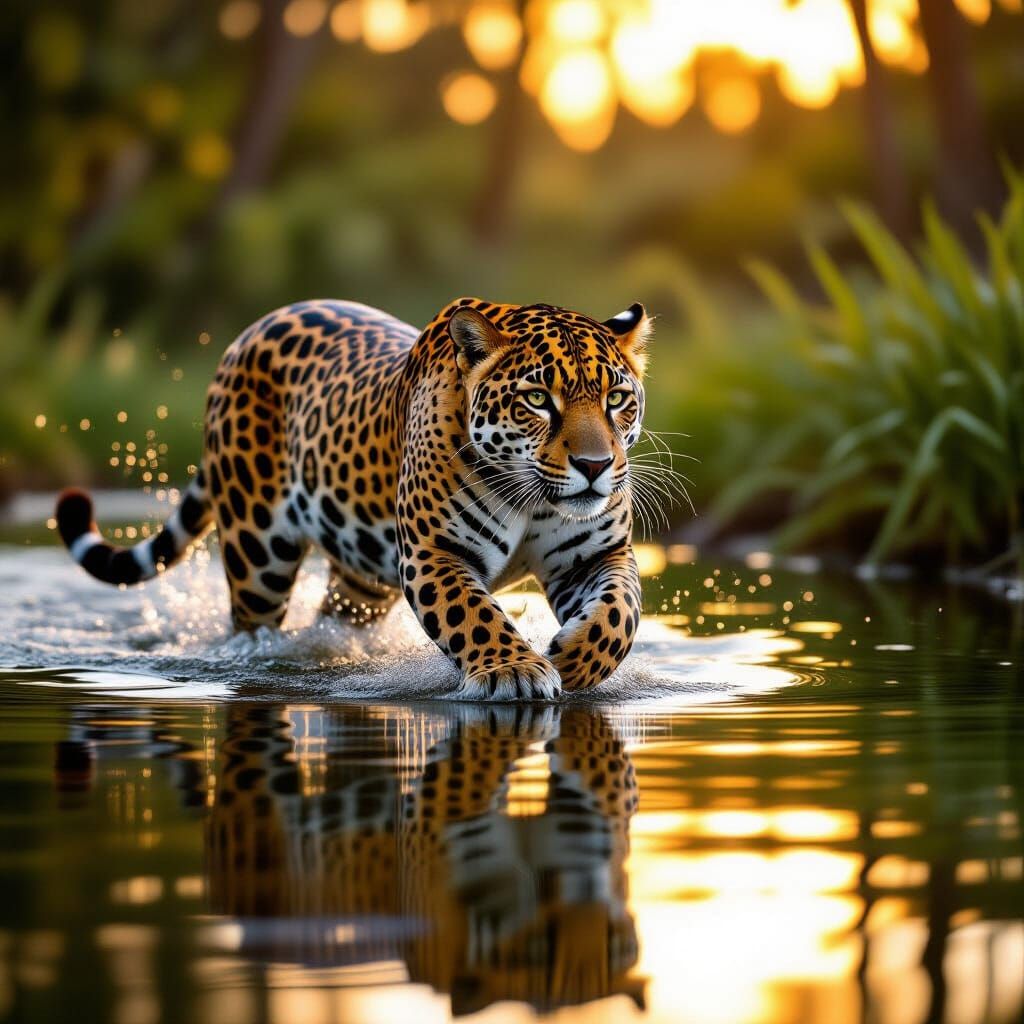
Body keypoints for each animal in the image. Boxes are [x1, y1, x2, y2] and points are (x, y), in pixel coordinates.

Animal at [56, 297, 651, 701]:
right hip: (258, 555)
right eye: (537, 399)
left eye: (616, 398)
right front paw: (514, 670)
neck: (532, 498)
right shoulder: (435, 554)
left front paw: (572, 660)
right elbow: (473, 613)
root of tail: (258, 324)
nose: (595, 466)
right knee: (253, 625)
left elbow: (620, 615)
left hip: (362, 572)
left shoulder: (597, 555)